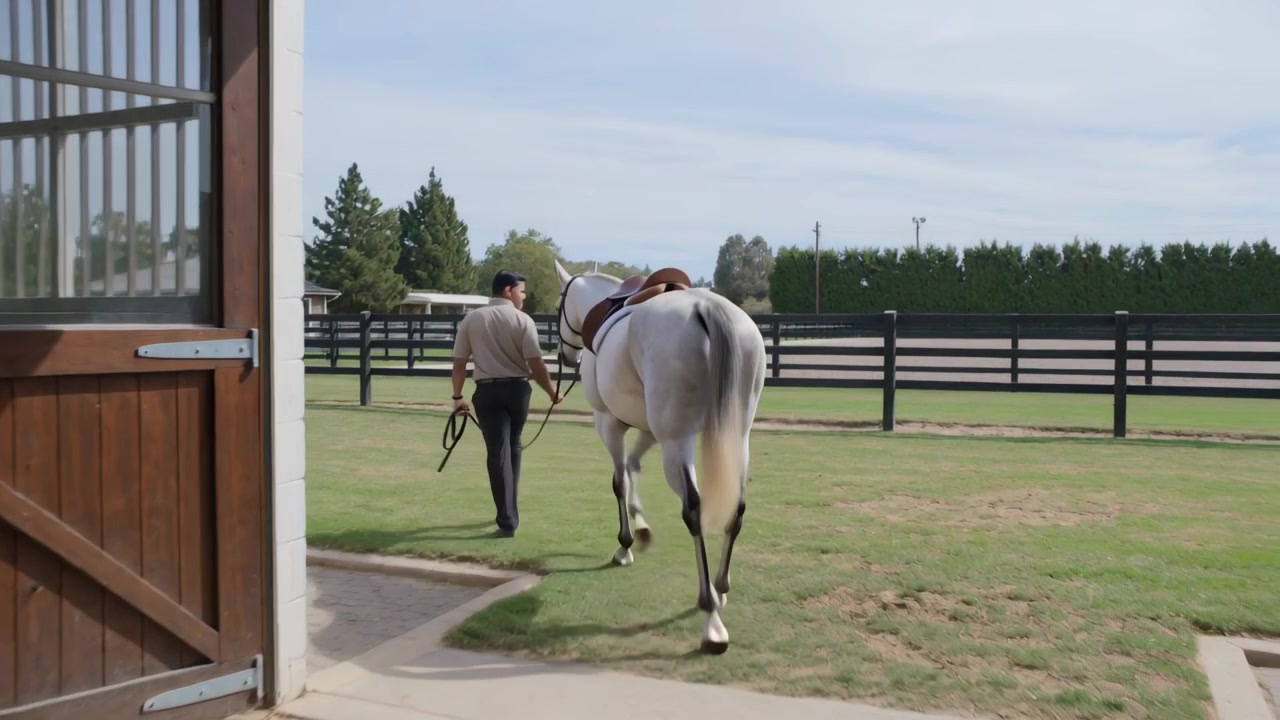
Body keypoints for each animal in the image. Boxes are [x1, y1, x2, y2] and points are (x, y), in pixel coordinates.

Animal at [552, 259, 767, 654]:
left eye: (559, 304)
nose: (565, 355)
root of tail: (706, 309)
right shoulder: (649, 430)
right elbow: (634, 467)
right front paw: (642, 527)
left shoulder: (610, 424)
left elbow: (620, 481)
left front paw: (625, 545)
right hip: (734, 436)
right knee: (737, 509)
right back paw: (720, 588)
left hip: (676, 441)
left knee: (693, 509)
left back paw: (711, 618)